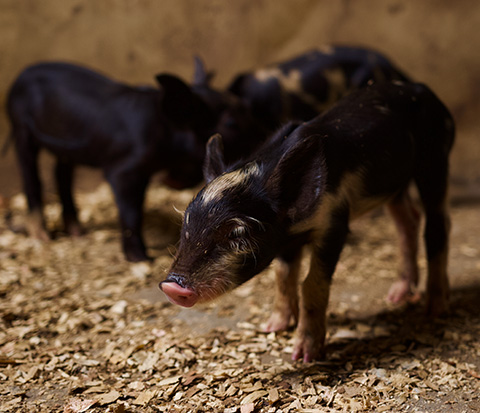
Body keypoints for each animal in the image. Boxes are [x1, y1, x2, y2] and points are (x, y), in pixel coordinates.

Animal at [6, 62, 217, 261]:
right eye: (221, 124)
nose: (170, 181)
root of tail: (18, 79)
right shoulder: (123, 170)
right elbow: (131, 211)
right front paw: (141, 258)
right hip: (21, 127)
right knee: (30, 174)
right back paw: (43, 237)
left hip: (65, 146)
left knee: (61, 174)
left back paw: (79, 234)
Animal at [160, 80, 455, 362]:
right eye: (187, 223)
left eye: (237, 232)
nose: (172, 285)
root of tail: (424, 90)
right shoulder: (286, 239)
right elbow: (283, 275)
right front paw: (273, 326)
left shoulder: (335, 223)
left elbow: (311, 283)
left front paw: (303, 356)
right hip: (394, 184)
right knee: (409, 221)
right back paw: (397, 296)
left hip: (435, 160)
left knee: (437, 224)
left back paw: (435, 310)